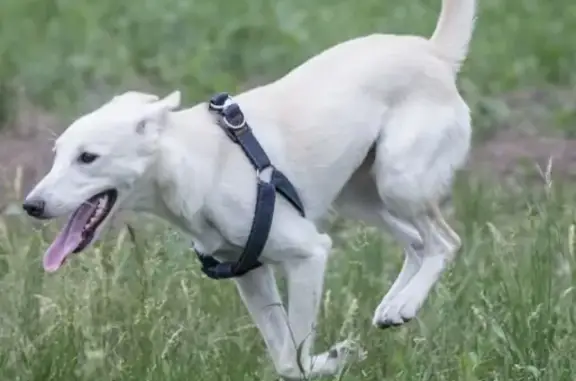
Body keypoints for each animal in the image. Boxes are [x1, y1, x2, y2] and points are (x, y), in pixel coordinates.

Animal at [23, 0, 476, 378]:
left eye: (88, 158)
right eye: (57, 154)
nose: (31, 205)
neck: (196, 162)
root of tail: (434, 53)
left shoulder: (310, 254)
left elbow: (297, 353)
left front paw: (333, 358)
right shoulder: (250, 273)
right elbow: (287, 361)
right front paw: (333, 358)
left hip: (398, 181)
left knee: (444, 242)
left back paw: (405, 302)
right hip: (360, 198)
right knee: (417, 242)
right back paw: (394, 306)